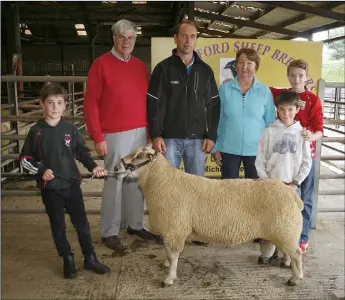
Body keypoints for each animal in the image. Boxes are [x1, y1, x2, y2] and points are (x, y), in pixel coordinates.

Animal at [113, 144, 304, 288]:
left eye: (139, 156)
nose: (116, 168)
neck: (163, 183)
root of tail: (291, 193)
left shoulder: (175, 229)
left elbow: (173, 255)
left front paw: (169, 278)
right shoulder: (171, 231)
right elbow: (168, 252)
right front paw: (166, 265)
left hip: (284, 229)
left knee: (297, 253)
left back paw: (295, 278)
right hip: (284, 231)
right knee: (290, 251)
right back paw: (286, 264)